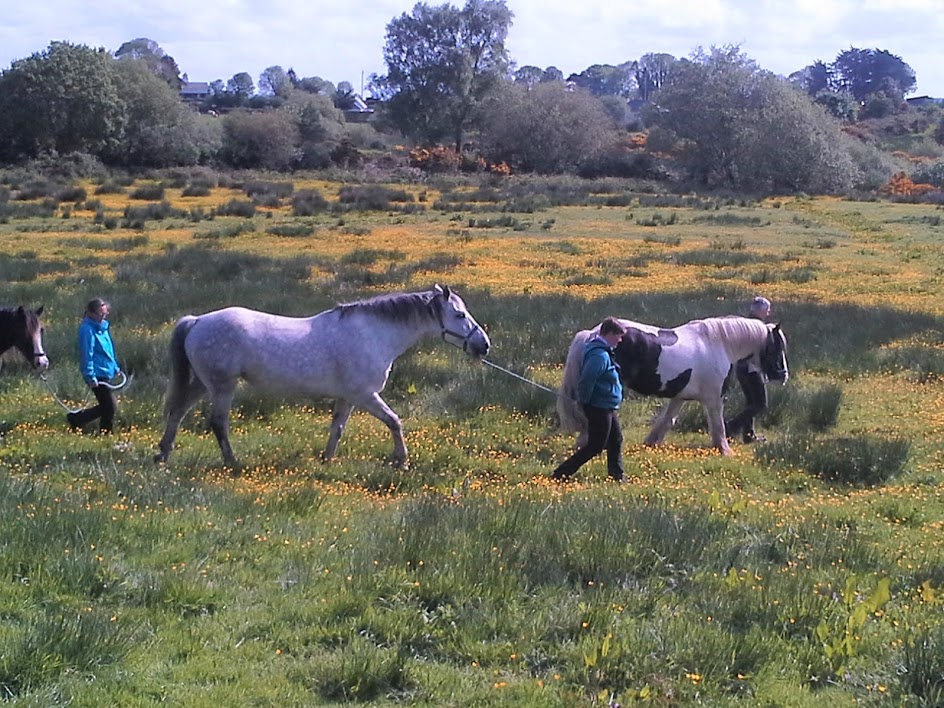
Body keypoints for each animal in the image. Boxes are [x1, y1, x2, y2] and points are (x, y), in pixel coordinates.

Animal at [155, 285, 491, 469]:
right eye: (459, 315)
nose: (483, 345)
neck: (373, 333)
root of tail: (197, 321)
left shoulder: (348, 398)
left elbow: (337, 429)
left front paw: (327, 461)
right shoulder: (365, 396)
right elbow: (395, 422)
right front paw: (402, 461)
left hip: (203, 384)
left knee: (178, 411)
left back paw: (163, 454)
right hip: (222, 386)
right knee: (217, 422)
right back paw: (231, 462)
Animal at [558, 316, 788, 455]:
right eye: (777, 346)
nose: (783, 375)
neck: (719, 343)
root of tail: (590, 334)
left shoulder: (679, 397)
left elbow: (666, 421)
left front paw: (650, 443)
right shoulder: (713, 399)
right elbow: (718, 426)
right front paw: (725, 450)